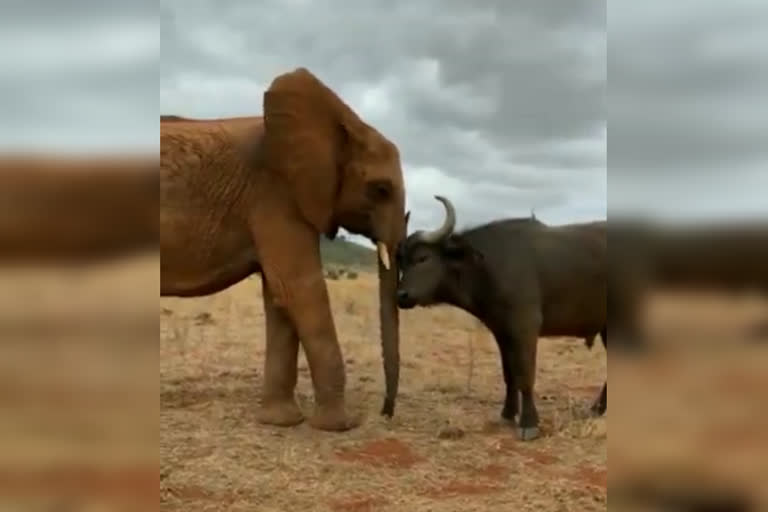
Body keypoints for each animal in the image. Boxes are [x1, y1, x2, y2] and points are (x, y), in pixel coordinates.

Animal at [161, 66, 408, 430]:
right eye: (380, 189)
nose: (385, 412)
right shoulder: (274, 194)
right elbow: (299, 289)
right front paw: (338, 426)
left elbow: (279, 296)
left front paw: (281, 421)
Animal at [396, 196, 608, 440]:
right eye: (401, 262)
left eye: (423, 258)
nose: (401, 296)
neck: (488, 265)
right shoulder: (502, 332)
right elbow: (510, 375)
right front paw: (508, 413)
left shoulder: (525, 329)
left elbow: (525, 375)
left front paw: (528, 422)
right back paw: (599, 408)